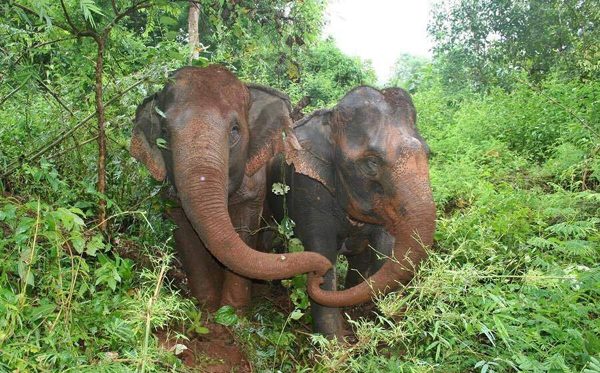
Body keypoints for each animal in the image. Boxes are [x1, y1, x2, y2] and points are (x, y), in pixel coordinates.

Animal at [129, 66, 332, 308]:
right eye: (165, 133)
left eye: (235, 130)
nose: (321, 275)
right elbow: (186, 235)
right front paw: (207, 307)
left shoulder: (254, 183)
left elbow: (244, 229)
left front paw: (231, 311)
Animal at [268, 85, 436, 336]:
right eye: (371, 163)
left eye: (428, 154)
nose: (314, 280)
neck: (329, 120)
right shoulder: (307, 186)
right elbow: (322, 252)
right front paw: (334, 344)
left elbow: (383, 248)